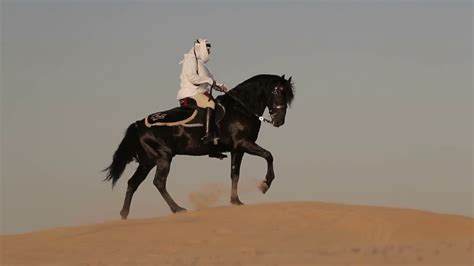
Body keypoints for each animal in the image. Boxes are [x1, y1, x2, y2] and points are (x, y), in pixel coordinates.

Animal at [104, 73, 292, 218]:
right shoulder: (243, 144)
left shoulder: (237, 150)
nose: (279, 121)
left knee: (133, 183)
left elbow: (234, 174)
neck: (240, 108)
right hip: (163, 157)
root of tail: (138, 124)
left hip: (147, 161)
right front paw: (265, 184)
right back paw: (177, 209)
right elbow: (269, 155)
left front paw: (236, 201)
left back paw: (124, 214)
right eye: (279, 92)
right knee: (158, 182)